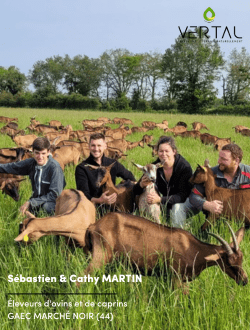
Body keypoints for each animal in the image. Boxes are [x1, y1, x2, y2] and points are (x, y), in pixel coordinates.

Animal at [82, 213, 248, 288]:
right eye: (229, 262)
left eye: (241, 259)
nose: (244, 281)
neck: (194, 248)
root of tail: (93, 226)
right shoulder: (177, 278)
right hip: (100, 258)